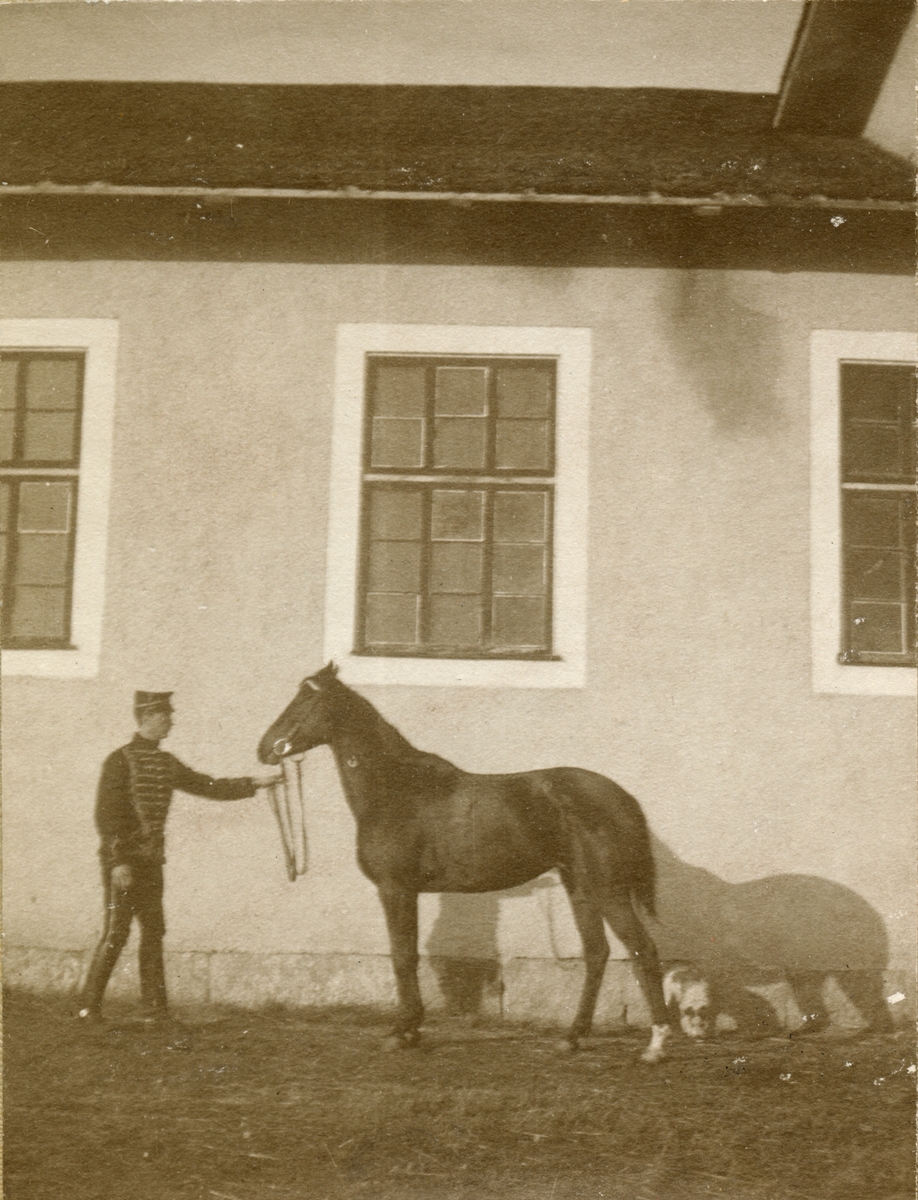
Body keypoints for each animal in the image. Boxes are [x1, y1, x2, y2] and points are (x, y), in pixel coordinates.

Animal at [258, 662, 672, 1065]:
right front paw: (412, 1030)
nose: (264, 749)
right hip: (580, 887)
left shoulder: (396, 889)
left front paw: (402, 1031)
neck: (396, 788)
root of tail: (622, 798)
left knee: (643, 950)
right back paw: (571, 1038)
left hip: (608, 889)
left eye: (304, 699)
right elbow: (408, 955)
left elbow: (403, 957)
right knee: (597, 954)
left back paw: (655, 1045)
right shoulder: (406, 891)